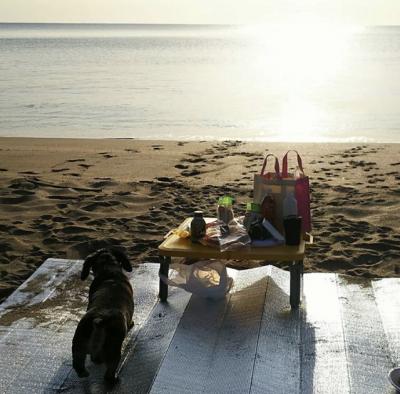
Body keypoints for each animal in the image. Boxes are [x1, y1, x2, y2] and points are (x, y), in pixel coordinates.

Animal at [72, 248, 134, 384]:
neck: (109, 270)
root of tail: (100, 320)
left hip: (78, 346)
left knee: (78, 364)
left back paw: (83, 373)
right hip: (113, 353)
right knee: (109, 374)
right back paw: (115, 379)